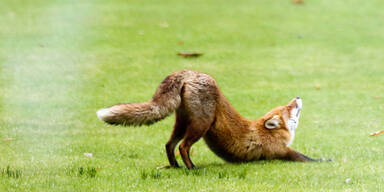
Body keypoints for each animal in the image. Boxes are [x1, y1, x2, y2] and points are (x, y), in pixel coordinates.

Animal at [97, 70, 328, 169]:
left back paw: (176, 167)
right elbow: (305, 158)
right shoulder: (282, 152)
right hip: (201, 125)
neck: (268, 132)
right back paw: (192, 169)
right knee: (183, 147)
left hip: (182, 124)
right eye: (289, 108)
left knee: (169, 145)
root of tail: (190, 72)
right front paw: (324, 161)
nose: (297, 97)